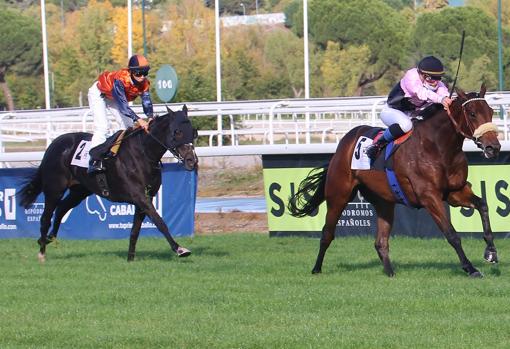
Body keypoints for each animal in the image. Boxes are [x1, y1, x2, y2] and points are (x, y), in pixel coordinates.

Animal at [17, 105, 198, 260]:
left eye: (194, 132)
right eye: (177, 132)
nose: (192, 161)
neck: (142, 153)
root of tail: (53, 144)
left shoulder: (145, 198)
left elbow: (135, 231)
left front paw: (130, 259)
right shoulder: (139, 197)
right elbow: (160, 222)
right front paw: (179, 249)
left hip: (79, 191)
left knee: (62, 209)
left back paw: (49, 238)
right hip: (54, 189)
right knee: (45, 217)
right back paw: (42, 252)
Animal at [288, 85, 500, 278]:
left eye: (490, 112)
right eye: (472, 113)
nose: (493, 147)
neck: (438, 147)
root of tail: (344, 143)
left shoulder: (455, 191)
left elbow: (482, 205)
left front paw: (491, 252)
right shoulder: (429, 196)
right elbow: (451, 233)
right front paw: (470, 268)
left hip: (384, 202)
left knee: (380, 242)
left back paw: (390, 273)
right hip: (338, 195)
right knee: (327, 233)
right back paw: (316, 269)